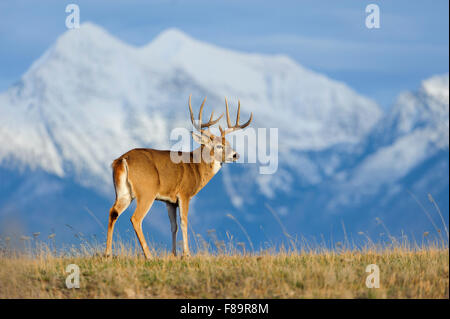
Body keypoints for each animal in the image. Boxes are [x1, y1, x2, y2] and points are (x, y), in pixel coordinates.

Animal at [105, 95, 253, 260]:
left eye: (228, 143)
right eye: (219, 145)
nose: (235, 155)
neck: (195, 166)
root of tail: (122, 160)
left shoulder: (169, 201)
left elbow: (173, 226)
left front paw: (174, 254)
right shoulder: (184, 193)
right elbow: (184, 222)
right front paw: (186, 254)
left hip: (124, 192)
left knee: (113, 212)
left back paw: (107, 254)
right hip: (146, 191)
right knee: (136, 218)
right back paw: (149, 256)